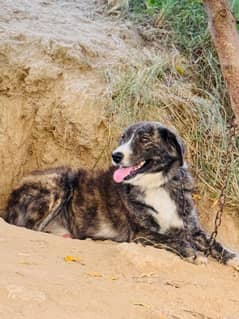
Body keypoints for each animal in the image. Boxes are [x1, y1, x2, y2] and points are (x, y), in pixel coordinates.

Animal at [5, 122, 239, 268]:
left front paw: (232, 257)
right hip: (60, 181)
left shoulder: (191, 227)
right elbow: (172, 239)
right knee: (29, 227)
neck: (157, 184)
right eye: (123, 138)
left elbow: (213, 242)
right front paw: (193, 253)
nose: (116, 155)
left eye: (144, 139)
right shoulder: (141, 233)